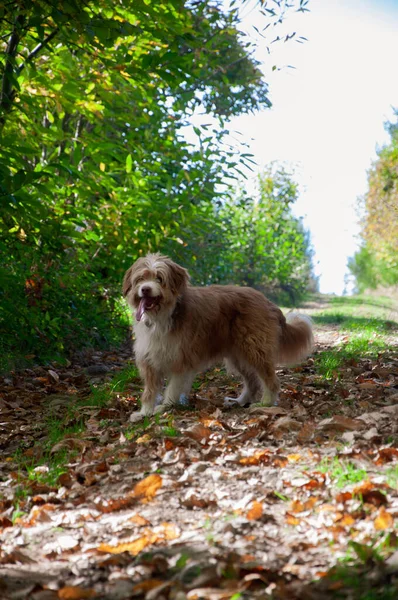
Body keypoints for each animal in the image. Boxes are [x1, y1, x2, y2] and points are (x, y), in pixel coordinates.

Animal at [123, 253, 312, 422]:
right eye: (140, 278)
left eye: (159, 278)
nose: (145, 289)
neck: (161, 316)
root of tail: (267, 301)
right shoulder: (149, 358)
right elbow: (149, 390)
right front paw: (145, 412)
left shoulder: (181, 358)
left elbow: (173, 387)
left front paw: (166, 406)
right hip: (238, 355)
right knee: (252, 381)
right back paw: (240, 401)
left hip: (255, 349)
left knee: (270, 380)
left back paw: (265, 403)